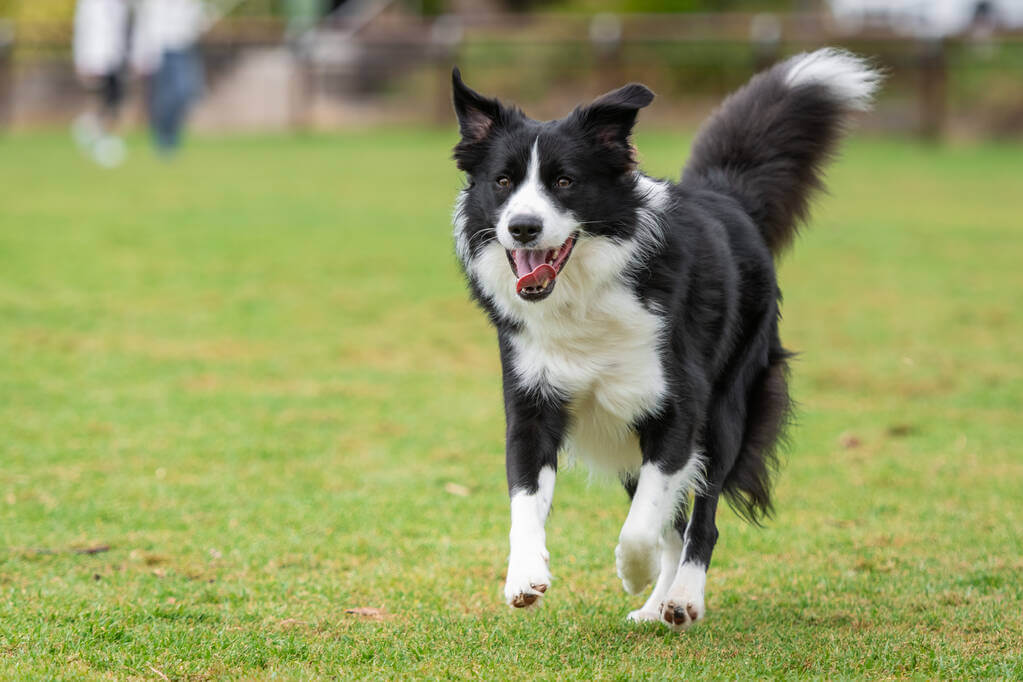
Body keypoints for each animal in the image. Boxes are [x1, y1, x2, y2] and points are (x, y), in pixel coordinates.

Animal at [450, 50, 879, 633]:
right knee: (672, 521)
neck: (585, 296)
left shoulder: (678, 408)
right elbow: (525, 499)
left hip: (725, 411)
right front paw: (524, 577)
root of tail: (725, 196)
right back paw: (658, 605)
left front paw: (635, 571)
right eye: (501, 181)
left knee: (700, 521)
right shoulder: (532, 404)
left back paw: (682, 598)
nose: (522, 227)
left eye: (564, 181)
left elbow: (643, 526)